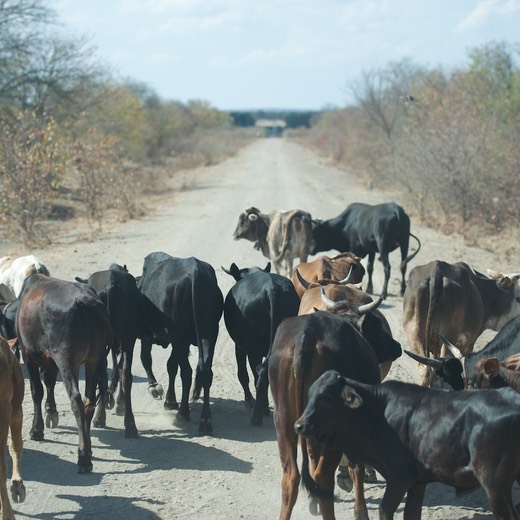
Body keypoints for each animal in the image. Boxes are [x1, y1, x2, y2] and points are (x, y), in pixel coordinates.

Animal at [14, 274, 111, 474]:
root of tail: (85, 299)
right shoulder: (51, 360)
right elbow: (49, 382)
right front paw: (51, 411)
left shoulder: (28, 354)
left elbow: (37, 391)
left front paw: (37, 429)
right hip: (93, 361)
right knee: (89, 401)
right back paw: (88, 449)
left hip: (67, 361)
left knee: (77, 401)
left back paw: (83, 457)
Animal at [137, 252, 222, 434]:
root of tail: (196, 271)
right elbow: (171, 365)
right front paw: (170, 400)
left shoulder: (149, 334)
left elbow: (147, 359)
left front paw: (156, 389)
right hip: (210, 334)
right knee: (205, 372)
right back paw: (205, 420)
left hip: (179, 335)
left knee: (187, 373)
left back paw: (183, 413)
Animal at [220, 262, 300, 424]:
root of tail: (270, 288)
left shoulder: (239, 346)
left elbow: (242, 373)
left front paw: (250, 400)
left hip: (252, 347)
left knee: (260, 373)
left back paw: (257, 416)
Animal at [296, 372, 520, 520]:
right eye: (309, 396)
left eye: (326, 398)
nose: (299, 425)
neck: (376, 413)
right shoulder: (418, 481)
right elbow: (411, 514)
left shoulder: (400, 477)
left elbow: (385, 510)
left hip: (495, 485)